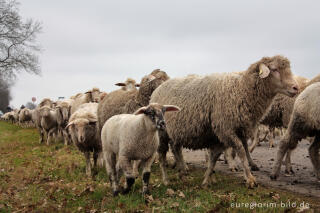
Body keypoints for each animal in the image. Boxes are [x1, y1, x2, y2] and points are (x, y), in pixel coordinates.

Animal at [151, 55, 298, 188]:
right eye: (274, 69)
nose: (296, 87)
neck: (240, 91)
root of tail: (157, 90)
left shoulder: (227, 133)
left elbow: (216, 157)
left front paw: (207, 180)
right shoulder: (226, 129)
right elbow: (241, 151)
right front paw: (250, 178)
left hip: (176, 131)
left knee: (176, 148)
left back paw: (182, 172)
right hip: (162, 133)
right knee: (162, 155)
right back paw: (166, 180)